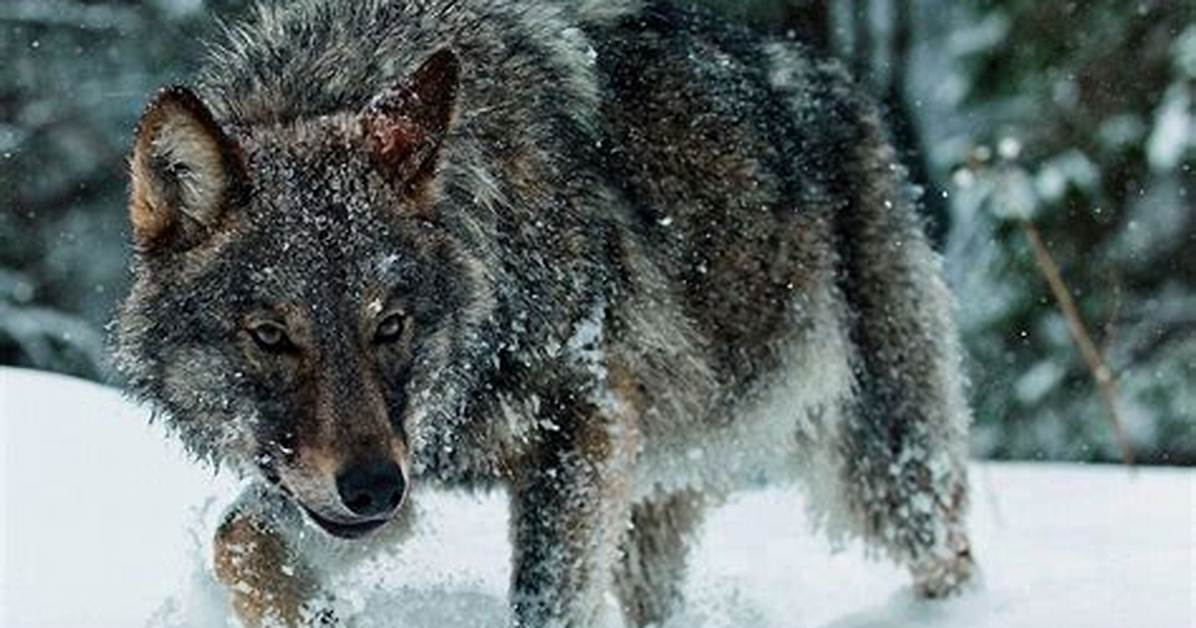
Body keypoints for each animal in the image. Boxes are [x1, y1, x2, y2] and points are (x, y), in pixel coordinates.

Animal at [114, 0, 975, 625]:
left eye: (389, 325)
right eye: (270, 336)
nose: (374, 491)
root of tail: (842, 84)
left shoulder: (581, 425)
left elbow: (545, 603)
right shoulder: (389, 469)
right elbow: (239, 540)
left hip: (885, 469)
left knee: (951, 550)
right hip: (653, 503)